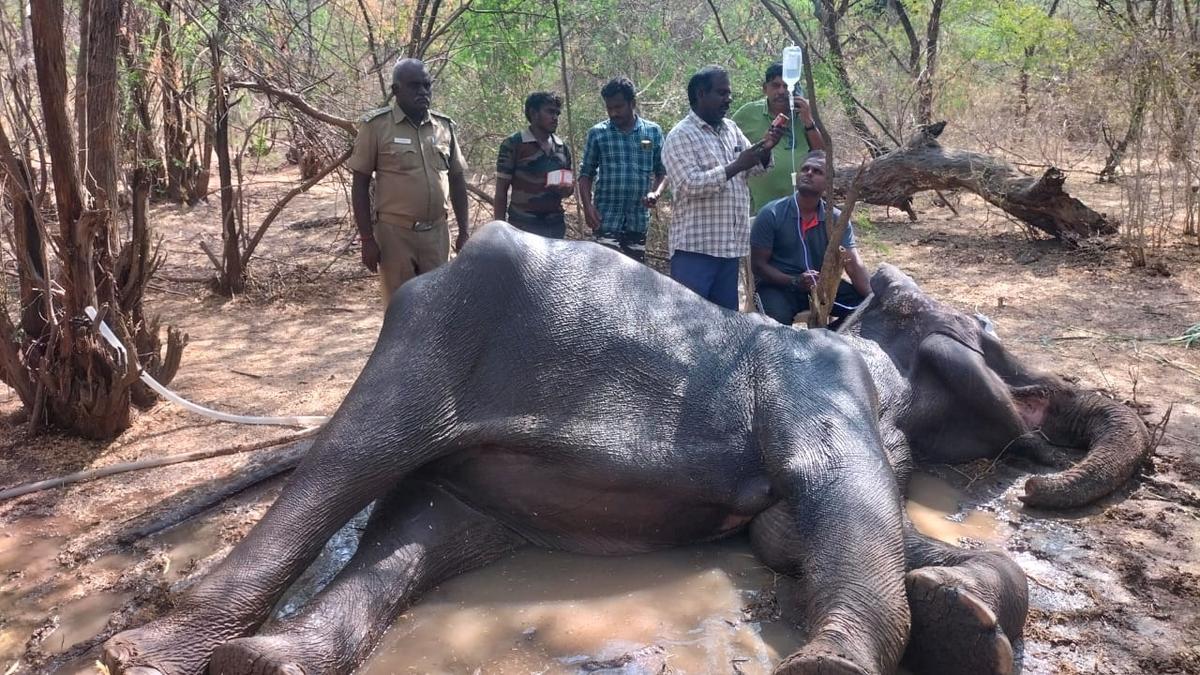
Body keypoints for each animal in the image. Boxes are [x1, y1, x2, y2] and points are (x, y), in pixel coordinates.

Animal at [101, 222, 1149, 675]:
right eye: (987, 329)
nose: (1040, 474)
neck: (849, 321)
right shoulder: (811, 376)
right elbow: (831, 491)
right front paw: (841, 661)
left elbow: (816, 527)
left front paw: (963, 612)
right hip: (430, 341)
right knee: (347, 463)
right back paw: (144, 654)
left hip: (476, 482)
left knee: (416, 534)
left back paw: (269, 663)